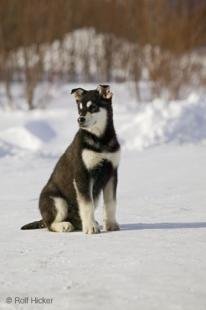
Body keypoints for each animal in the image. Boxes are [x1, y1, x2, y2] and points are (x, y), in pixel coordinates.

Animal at [20, 85, 120, 235]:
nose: (80, 119)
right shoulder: (82, 175)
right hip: (58, 201)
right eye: (80, 109)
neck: (101, 140)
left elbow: (111, 203)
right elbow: (87, 205)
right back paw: (64, 225)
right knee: (50, 224)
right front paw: (90, 228)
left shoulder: (112, 173)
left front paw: (111, 224)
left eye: (93, 107)